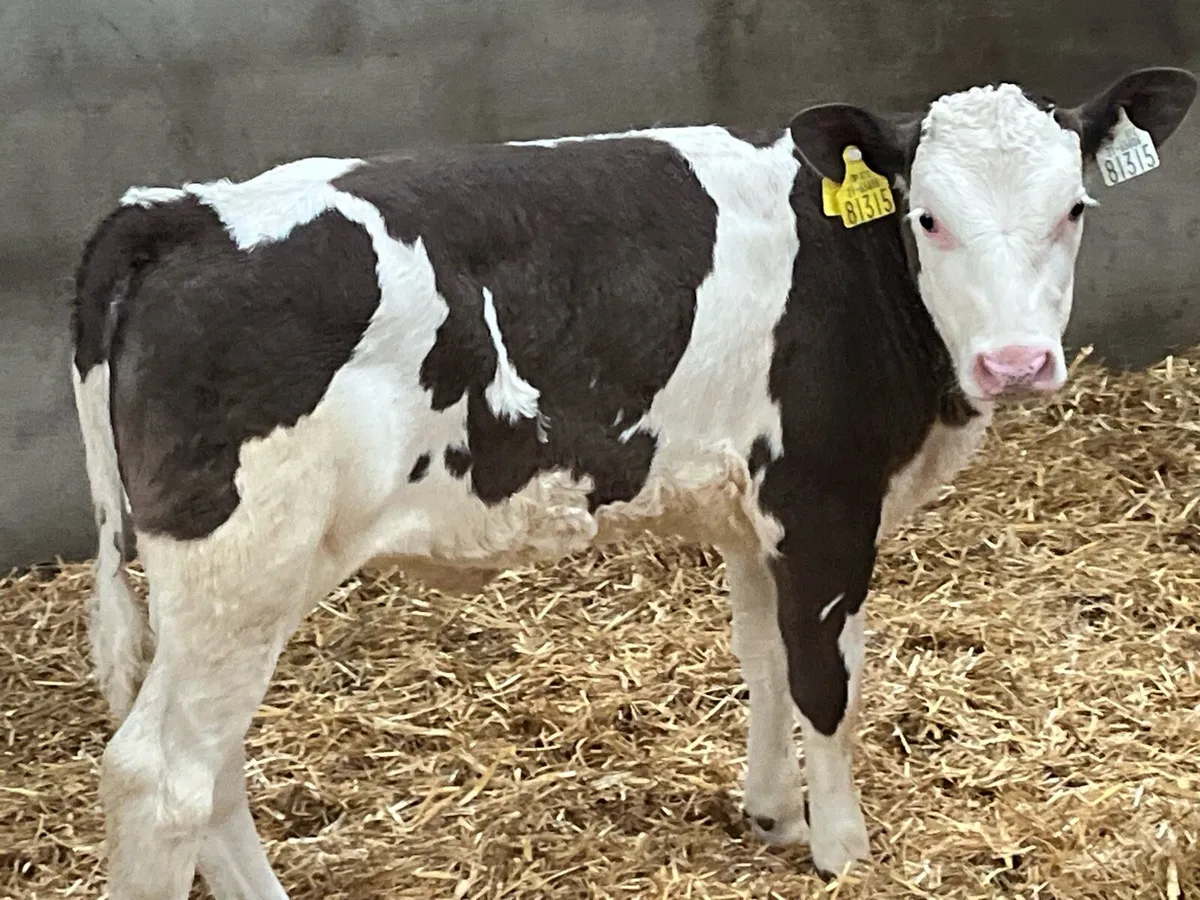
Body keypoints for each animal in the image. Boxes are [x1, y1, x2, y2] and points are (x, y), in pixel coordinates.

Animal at [69, 66, 1196, 898]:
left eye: (1075, 209)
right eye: (927, 219)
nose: (1017, 363)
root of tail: (177, 212)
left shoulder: (754, 511)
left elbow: (764, 656)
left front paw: (772, 812)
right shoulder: (824, 499)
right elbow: (827, 676)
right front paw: (843, 847)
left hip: (233, 583)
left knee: (207, 768)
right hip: (244, 562)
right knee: (162, 778)